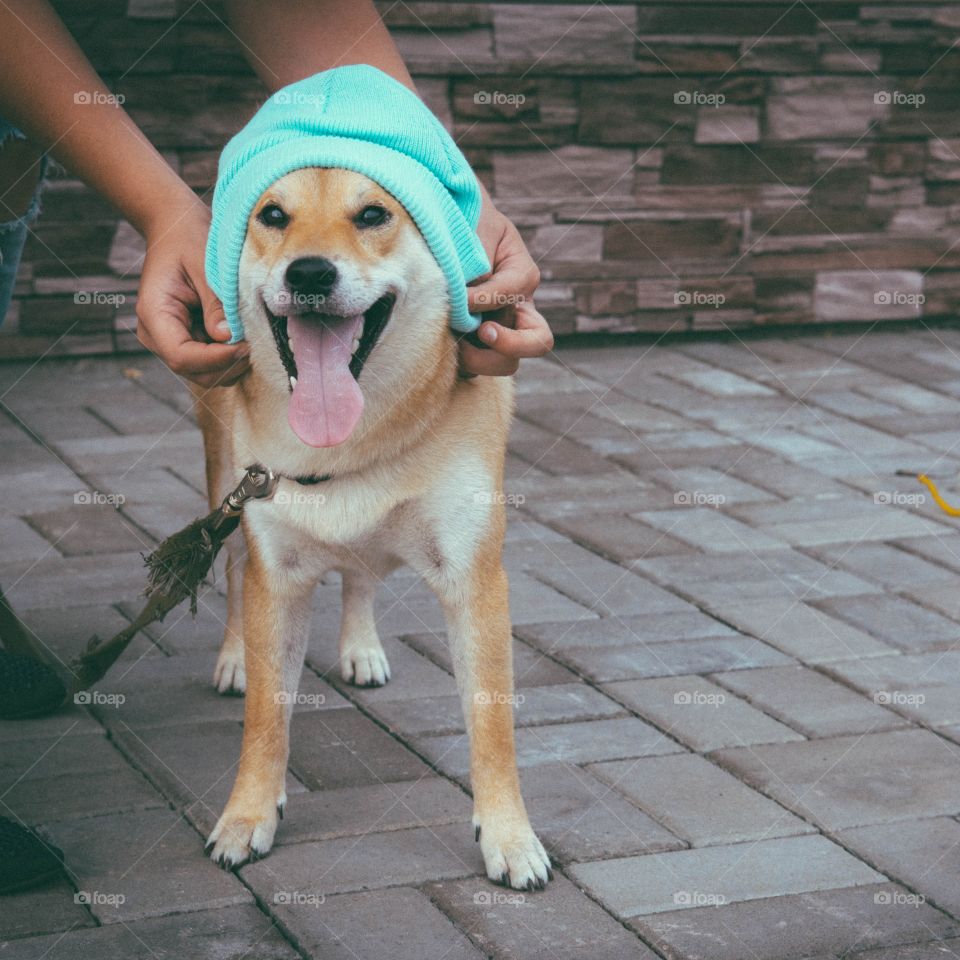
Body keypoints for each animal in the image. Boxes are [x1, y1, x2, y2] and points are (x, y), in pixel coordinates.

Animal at [193, 167, 556, 892]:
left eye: (371, 215)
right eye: (272, 215)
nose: (309, 271)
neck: (355, 438)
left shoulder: (475, 578)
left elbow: (492, 722)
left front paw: (509, 836)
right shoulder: (276, 569)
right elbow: (266, 719)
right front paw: (248, 817)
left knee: (359, 576)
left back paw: (361, 648)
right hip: (227, 486)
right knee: (235, 568)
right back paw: (234, 656)